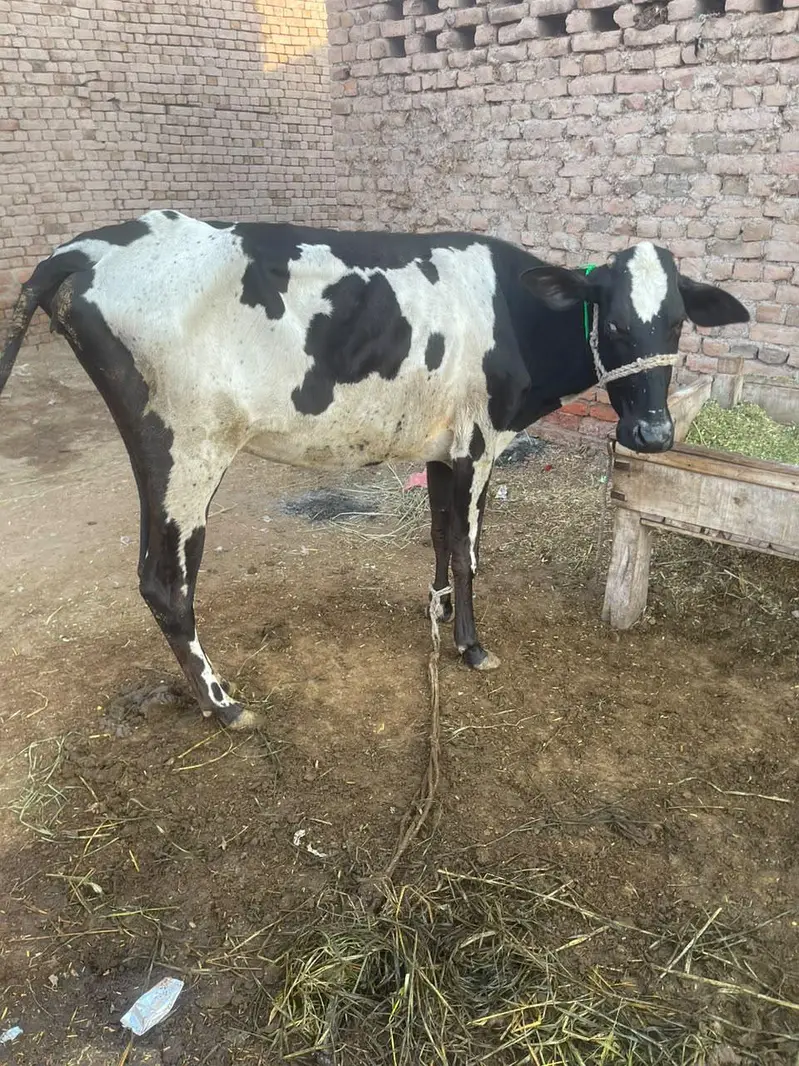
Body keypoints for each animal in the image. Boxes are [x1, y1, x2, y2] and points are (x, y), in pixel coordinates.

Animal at [0, 211, 749, 728]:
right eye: (614, 323)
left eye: (676, 325)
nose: (652, 434)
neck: (515, 314)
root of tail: (85, 248)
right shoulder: (480, 442)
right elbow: (471, 550)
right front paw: (472, 647)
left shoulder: (442, 446)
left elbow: (441, 537)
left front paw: (439, 614)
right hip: (185, 448)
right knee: (165, 582)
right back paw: (225, 705)